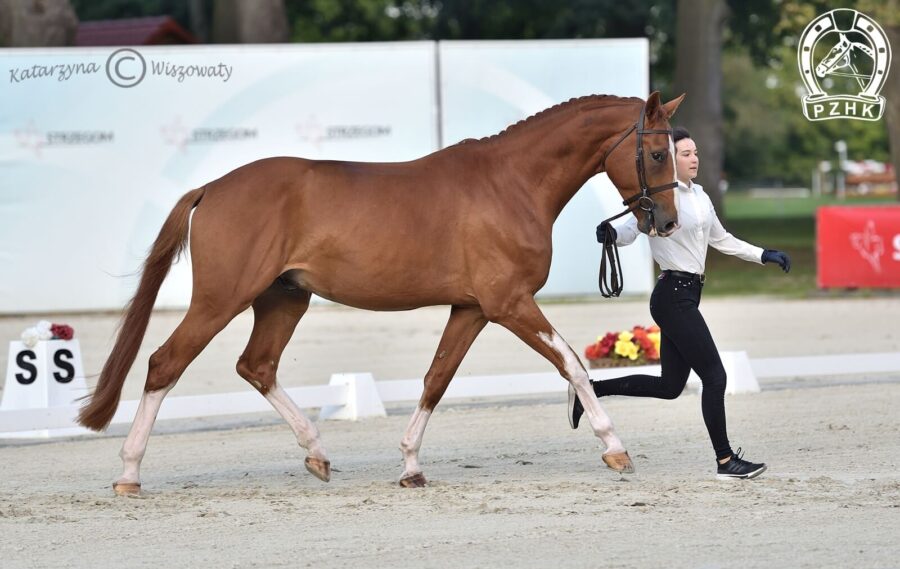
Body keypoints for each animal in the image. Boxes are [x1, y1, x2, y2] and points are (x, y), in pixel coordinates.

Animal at [79, 91, 684, 490]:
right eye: (657, 154)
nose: (668, 222)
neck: (510, 184)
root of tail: (212, 188)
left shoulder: (471, 308)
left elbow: (437, 379)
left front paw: (411, 465)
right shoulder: (509, 303)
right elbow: (573, 365)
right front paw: (615, 448)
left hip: (284, 298)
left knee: (257, 366)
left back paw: (317, 455)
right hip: (221, 299)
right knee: (164, 364)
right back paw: (129, 473)